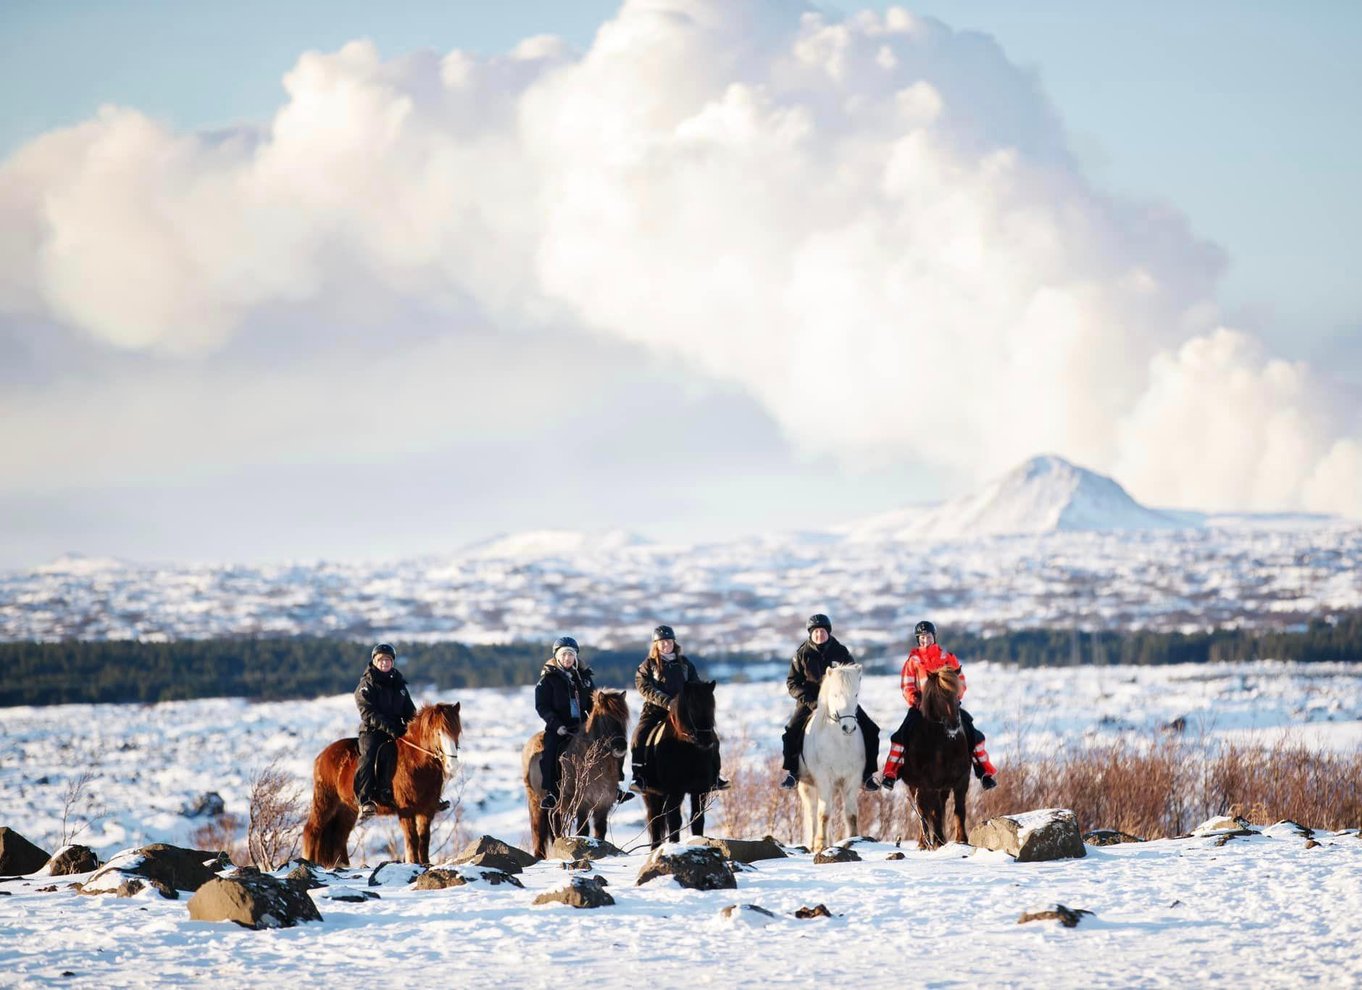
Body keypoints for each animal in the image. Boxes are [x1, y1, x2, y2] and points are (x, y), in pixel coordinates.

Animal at [302, 702, 460, 866]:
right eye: (438, 733)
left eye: (457, 732)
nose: (452, 766)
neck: (416, 763)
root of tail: (322, 756)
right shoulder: (406, 809)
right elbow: (412, 838)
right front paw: (413, 862)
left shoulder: (426, 809)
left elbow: (424, 839)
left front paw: (425, 863)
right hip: (325, 800)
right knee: (312, 830)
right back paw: (307, 860)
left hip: (347, 808)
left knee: (339, 836)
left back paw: (343, 865)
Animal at [520, 689, 631, 860]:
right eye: (606, 718)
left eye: (624, 719)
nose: (621, 746)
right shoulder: (582, 804)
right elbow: (583, 831)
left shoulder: (603, 805)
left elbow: (600, 832)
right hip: (535, 802)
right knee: (539, 834)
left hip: (556, 809)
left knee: (555, 830)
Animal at [640, 680, 724, 849]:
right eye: (692, 708)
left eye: (712, 707)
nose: (706, 740)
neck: (688, 750)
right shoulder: (674, 791)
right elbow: (674, 821)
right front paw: (674, 845)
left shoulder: (700, 790)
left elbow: (697, 819)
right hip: (651, 794)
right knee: (655, 821)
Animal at [795, 661, 866, 855]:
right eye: (835, 694)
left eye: (856, 693)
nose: (848, 727)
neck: (840, 743)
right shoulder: (823, 778)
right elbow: (824, 813)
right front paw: (820, 844)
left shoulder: (852, 778)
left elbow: (851, 814)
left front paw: (854, 839)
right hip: (807, 785)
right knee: (812, 812)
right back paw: (813, 843)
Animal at [898, 667, 975, 849]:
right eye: (939, 695)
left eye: (956, 693)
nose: (953, 724)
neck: (941, 744)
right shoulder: (929, 783)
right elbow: (934, 813)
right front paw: (938, 842)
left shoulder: (962, 779)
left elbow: (959, 809)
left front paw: (962, 839)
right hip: (915, 786)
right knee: (922, 810)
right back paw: (924, 842)